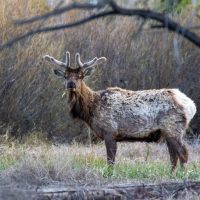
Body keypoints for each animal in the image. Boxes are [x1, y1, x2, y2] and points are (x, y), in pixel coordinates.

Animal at [44, 51, 197, 170]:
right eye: (65, 75)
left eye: (81, 76)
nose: (71, 84)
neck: (92, 109)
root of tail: (191, 105)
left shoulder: (110, 130)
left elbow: (110, 160)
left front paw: (109, 174)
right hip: (167, 131)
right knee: (173, 156)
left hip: (173, 126)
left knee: (183, 153)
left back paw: (183, 174)